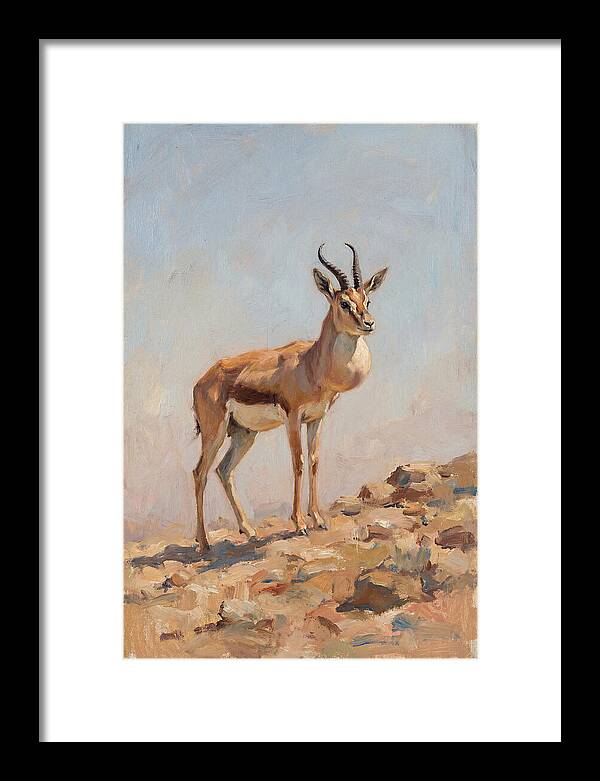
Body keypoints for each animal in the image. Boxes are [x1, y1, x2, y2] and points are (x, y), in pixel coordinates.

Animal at [192, 244, 388, 551]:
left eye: (367, 300)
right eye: (344, 303)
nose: (369, 323)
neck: (312, 364)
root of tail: (202, 381)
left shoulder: (317, 418)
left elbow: (315, 461)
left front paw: (318, 519)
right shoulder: (293, 418)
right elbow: (298, 463)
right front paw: (299, 524)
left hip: (244, 434)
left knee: (223, 470)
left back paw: (249, 531)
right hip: (215, 432)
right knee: (199, 473)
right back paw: (204, 543)